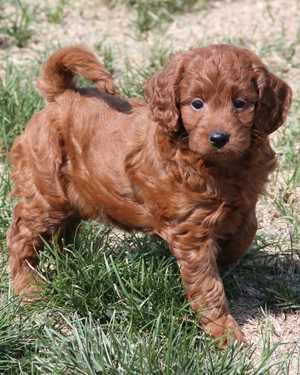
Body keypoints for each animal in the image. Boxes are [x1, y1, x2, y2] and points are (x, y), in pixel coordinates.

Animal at [6, 44, 292, 346]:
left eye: (240, 103)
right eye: (197, 103)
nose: (218, 138)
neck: (218, 166)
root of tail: (62, 95)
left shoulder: (245, 202)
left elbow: (246, 232)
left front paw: (227, 257)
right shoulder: (191, 232)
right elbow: (208, 286)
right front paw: (225, 334)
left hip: (71, 196)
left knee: (61, 232)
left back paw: (70, 264)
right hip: (45, 190)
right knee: (21, 237)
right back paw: (28, 289)